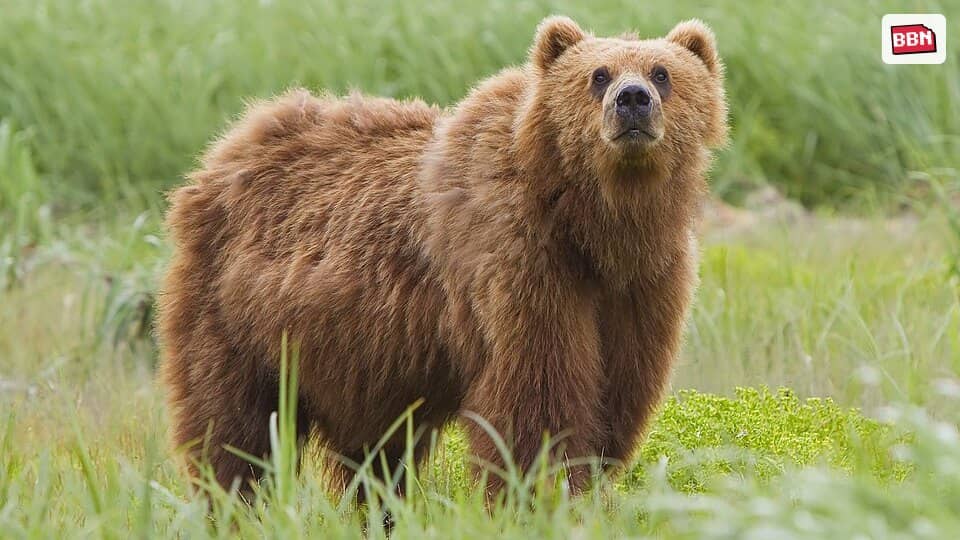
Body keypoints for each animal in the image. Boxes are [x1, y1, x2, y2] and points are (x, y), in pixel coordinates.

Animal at [157, 15, 727, 499]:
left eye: (662, 72)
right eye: (598, 74)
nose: (632, 99)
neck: (594, 225)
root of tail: (228, 146)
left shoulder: (642, 285)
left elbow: (617, 396)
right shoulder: (520, 263)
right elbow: (537, 402)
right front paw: (540, 492)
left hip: (359, 359)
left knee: (375, 456)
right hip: (236, 316)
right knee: (234, 428)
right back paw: (234, 502)